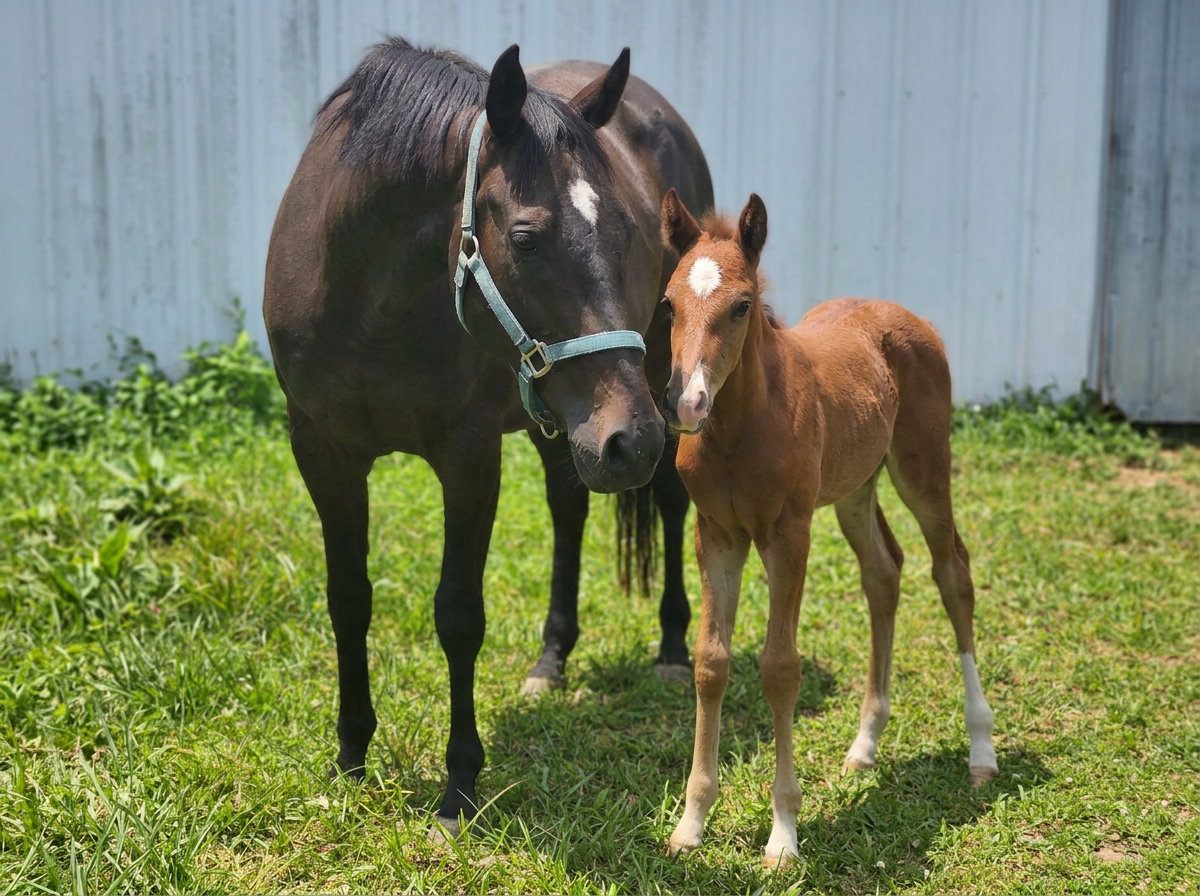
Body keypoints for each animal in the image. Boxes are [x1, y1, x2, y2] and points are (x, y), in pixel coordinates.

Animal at [263, 39, 712, 833]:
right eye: (526, 239)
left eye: (628, 234)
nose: (632, 441)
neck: (369, 302)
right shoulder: (321, 451)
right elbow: (348, 598)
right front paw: (350, 755)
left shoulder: (469, 456)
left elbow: (458, 615)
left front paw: (459, 787)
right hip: (564, 422)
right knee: (570, 506)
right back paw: (551, 660)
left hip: (648, 390)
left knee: (667, 502)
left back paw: (669, 647)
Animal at [657, 190, 998, 866]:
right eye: (669, 303)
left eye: (741, 306)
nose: (687, 402)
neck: (738, 429)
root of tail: (907, 315)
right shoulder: (718, 534)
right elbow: (711, 663)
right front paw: (691, 823)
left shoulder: (788, 533)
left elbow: (779, 668)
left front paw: (784, 834)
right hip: (854, 489)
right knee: (884, 571)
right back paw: (864, 747)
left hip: (923, 469)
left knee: (953, 573)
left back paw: (982, 751)